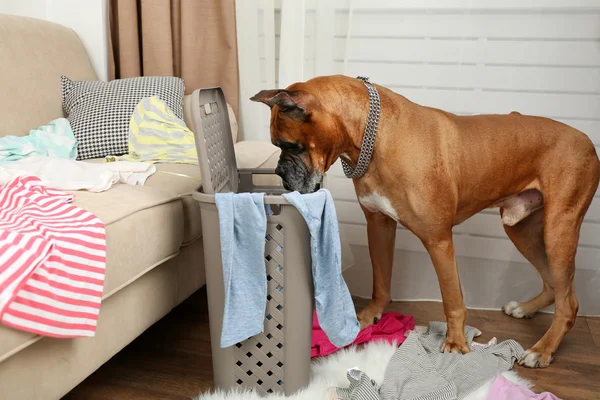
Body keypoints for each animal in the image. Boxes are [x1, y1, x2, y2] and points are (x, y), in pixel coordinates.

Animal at [250, 73, 600, 368]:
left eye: (291, 146)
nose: (280, 172)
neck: (374, 136)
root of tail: (587, 140)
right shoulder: (379, 225)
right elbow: (381, 280)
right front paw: (371, 315)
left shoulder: (438, 240)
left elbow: (452, 298)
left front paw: (456, 344)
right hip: (522, 230)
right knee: (555, 286)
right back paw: (526, 309)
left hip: (558, 231)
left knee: (569, 302)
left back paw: (542, 350)